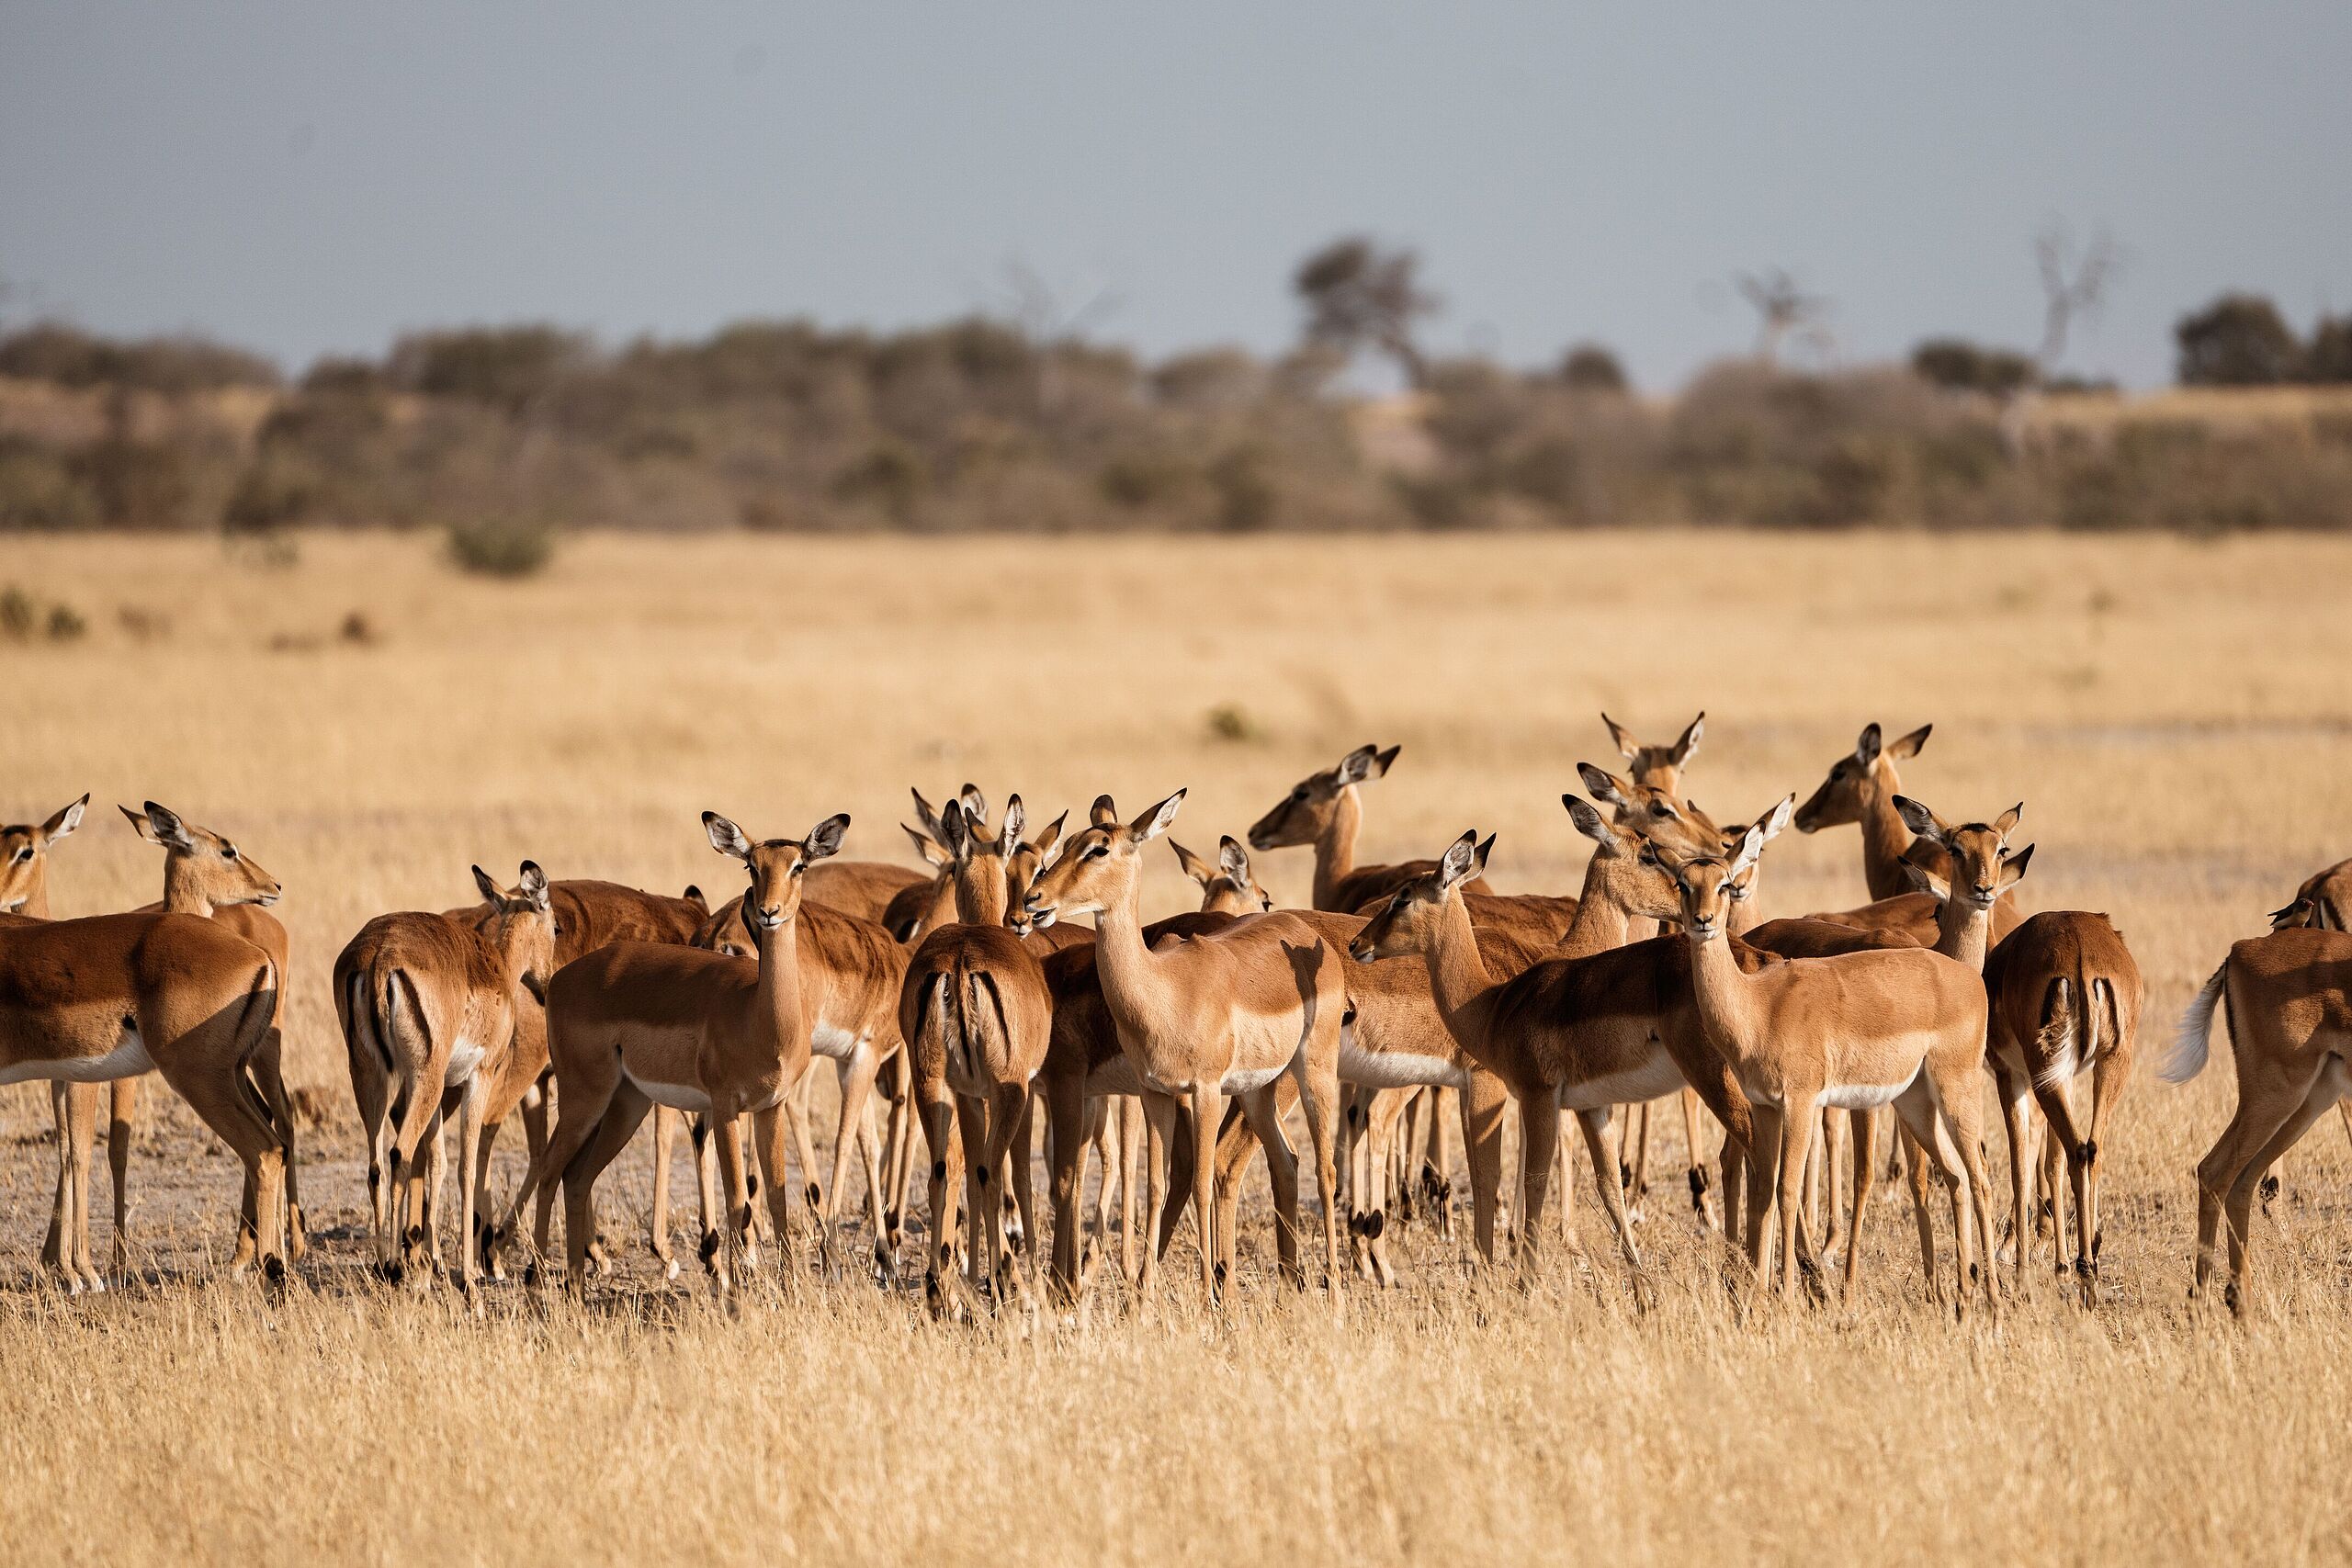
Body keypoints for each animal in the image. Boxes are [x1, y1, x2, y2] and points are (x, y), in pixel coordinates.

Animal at [335, 863, 555, 1291]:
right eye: (556, 927)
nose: (548, 984)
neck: (499, 970)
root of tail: (379, 956)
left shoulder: (432, 1088)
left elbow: (436, 1159)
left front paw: (432, 1262)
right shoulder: (477, 1077)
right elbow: (466, 1167)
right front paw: (468, 1275)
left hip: (372, 1076)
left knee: (376, 1165)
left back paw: (384, 1264)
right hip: (427, 1077)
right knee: (400, 1152)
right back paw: (394, 1267)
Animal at [505, 811, 846, 1296]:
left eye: (799, 865)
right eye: (751, 866)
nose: (769, 912)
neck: (758, 1015)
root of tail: (558, 979)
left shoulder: (770, 1107)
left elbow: (778, 1197)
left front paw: (787, 1288)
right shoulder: (725, 1107)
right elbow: (738, 1199)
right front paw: (736, 1287)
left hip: (626, 1104)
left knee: (577, 1176)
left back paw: (576, 1285)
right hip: (584, 1098)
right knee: (552, 1169)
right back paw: (537, 1284)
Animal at [1024, 790, 1347, 1301]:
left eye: (1099, 849)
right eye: (1068, 842)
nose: (1033, 899)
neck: (1166, 990)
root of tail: (1306, 936)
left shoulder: (1205, 1090)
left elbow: (1198, 1181)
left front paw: (1207, 1294)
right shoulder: (1156, 1092)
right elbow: (1156, 1185)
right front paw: (1143, 1297)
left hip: (1313, 1070)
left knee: (1324, 1168)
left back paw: (1331, 1289)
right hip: (1258, 1091)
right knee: (1286, 1162)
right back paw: (1287, 1289)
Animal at [1649, 803, 2001, 1311]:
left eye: (1723, 881)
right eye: (1682, 883)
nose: (1703, 920)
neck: (1759, 1007)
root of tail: (1967, 977)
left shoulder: (1800, 1103)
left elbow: (1788, 1187)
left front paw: (1789, 1293)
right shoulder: (1766, 1106)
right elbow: (1765, 1189)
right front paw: (1762, 1293)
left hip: (1955, 1091)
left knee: (1980, 1176)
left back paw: (1991, 1297)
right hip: (1915, 1102)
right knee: (1954, 1175)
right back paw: (1963, 1296)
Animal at [2163, 922, 2351, 1315]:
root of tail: (2240, 949)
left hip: (2310, 1100)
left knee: (2243, 1182)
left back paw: (2240, 1302)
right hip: (2278, 1095)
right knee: (2214, 1170)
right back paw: (2203, 1303)